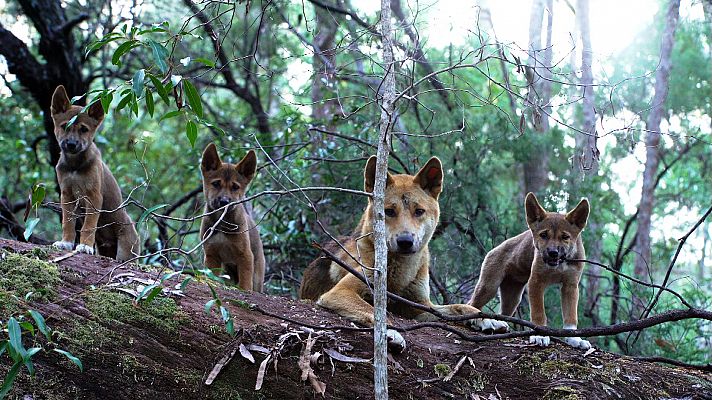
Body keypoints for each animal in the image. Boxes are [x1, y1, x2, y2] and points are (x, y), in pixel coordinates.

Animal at [50, 85, 140, 260]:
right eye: (64, 126)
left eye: (84, 129)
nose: (71, 144)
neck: (75, 166)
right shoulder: (67, 195)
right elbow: (68, 223)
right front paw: (66, 243)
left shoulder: (93, 196)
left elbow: (88, 225)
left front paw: (84, 245)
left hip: (125, 252)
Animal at [199, 143, 266, 290]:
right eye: (216, 184)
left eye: (235, 187)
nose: (224, 202)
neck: (222, 221)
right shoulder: (211, 255)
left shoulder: (245, 256)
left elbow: (245, 284)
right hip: (228, 272)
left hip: (257, 276)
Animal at [298, 156, 506, 350]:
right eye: (388, 212)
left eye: (419, 211)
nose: (405, 241)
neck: (400, 271)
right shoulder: (340, 292)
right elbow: (373, 311)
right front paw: (389, 332)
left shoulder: (420, 307)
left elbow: (460, 307)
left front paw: (487, 318)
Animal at [470, 192, 592, 348]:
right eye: (543, 235)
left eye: (565, 237)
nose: (553, 253)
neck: (559, 264)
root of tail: (493, 250)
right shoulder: (536, 282)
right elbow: (538, 312)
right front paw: (540, 334)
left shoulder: (570, 286)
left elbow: (571, 316)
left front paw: (574, 339)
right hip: (489, 287)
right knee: (471, 305)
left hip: (512, 297)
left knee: (502, 313)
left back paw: (498, 325)